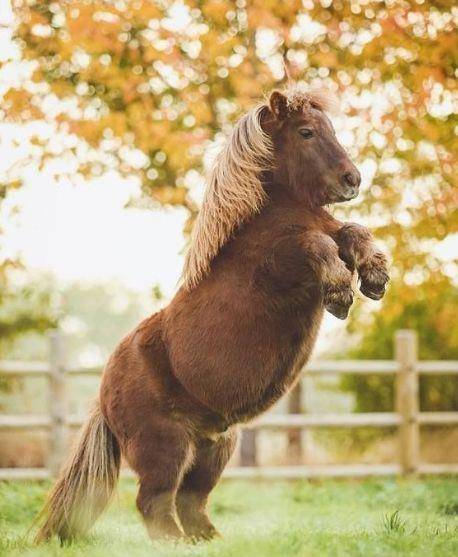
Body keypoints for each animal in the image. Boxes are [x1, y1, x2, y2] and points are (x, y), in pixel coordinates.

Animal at [35, 84, 390, 540]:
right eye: (306, 132)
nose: (352, 180)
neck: (272, 218)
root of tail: (103, 391)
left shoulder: (330, 229)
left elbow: (352, 231)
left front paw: (375, 278)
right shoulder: (282, 263)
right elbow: (316, 244)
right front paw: (341, 294)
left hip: (215, 446)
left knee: (191, 503)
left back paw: (212, 542)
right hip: (165, 446)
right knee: (155, 503)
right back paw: (177, 545)